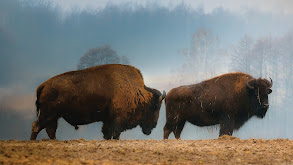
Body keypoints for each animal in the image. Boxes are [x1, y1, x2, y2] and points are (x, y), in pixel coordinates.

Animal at [31, 63, 167, 140]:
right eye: (155, 106)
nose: (154, 125)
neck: (136, 91)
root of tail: (44, 85)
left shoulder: (108, 121)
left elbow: (107, 134)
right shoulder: (117, 121)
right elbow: (115, 135)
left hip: (53, 117)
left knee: (49, 129)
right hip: (48, 115)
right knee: (37, 126)